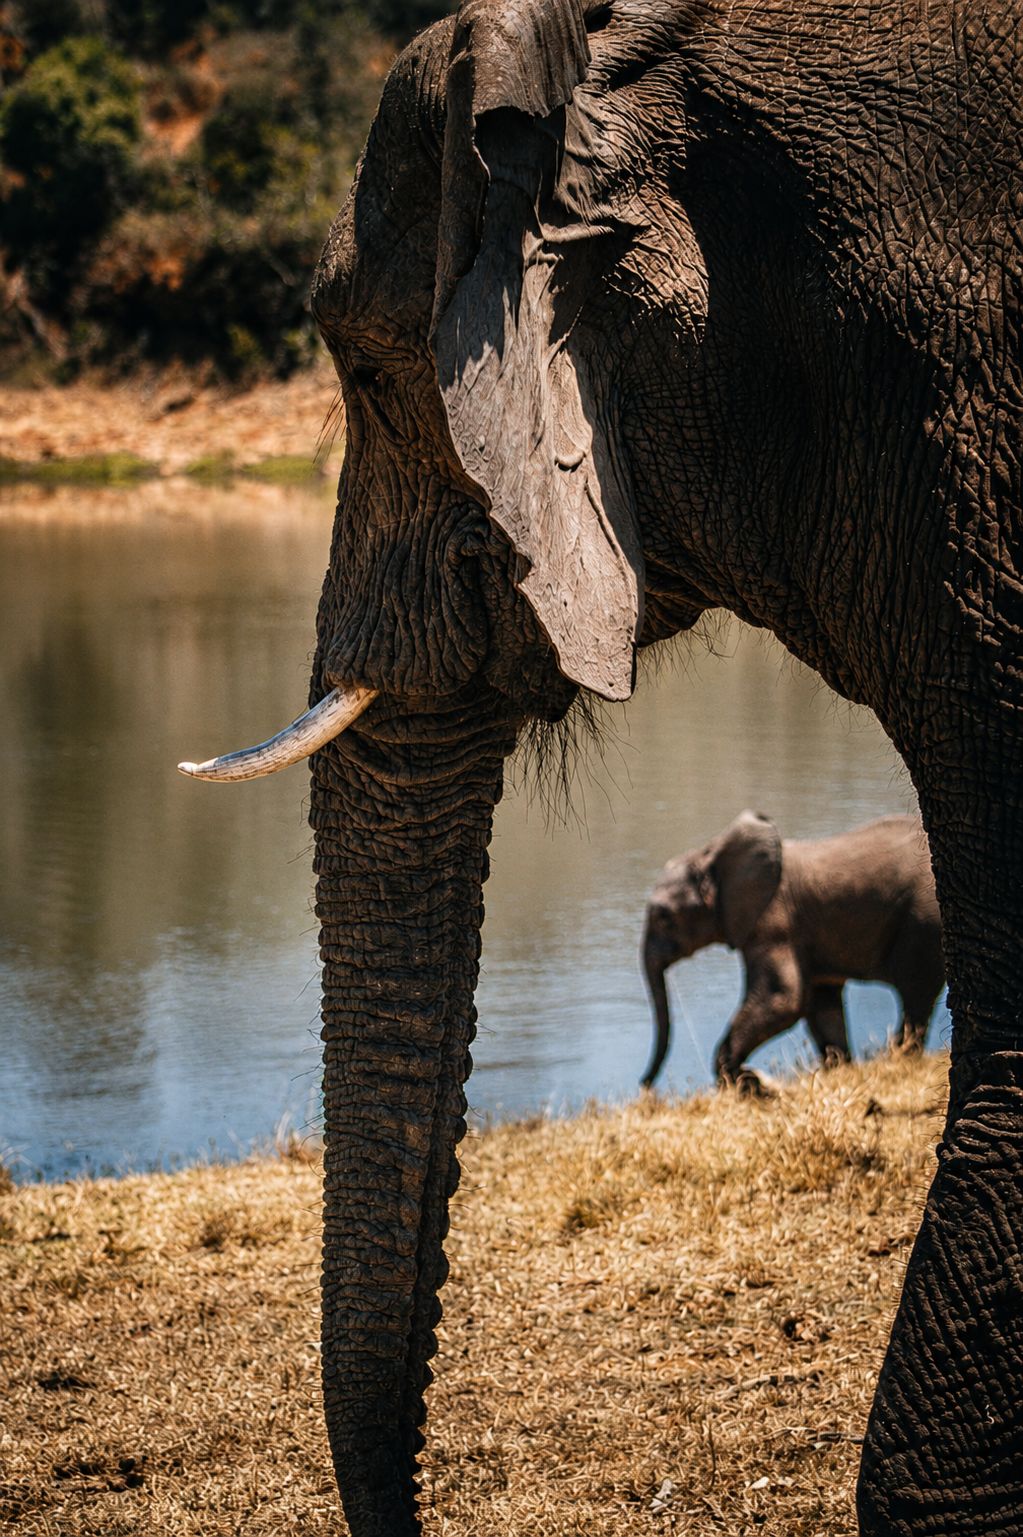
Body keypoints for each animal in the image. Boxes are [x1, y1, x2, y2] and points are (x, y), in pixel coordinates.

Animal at [641, 810, 946, 1092]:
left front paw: (747, 1086)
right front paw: (838, 1071)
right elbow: (821, 1005)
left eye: (664, 917)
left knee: (915, 990)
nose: (645, 1086)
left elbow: (782, 998)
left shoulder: (773, 922)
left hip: (923, 922)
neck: (710, 856)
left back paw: (896, 1058)